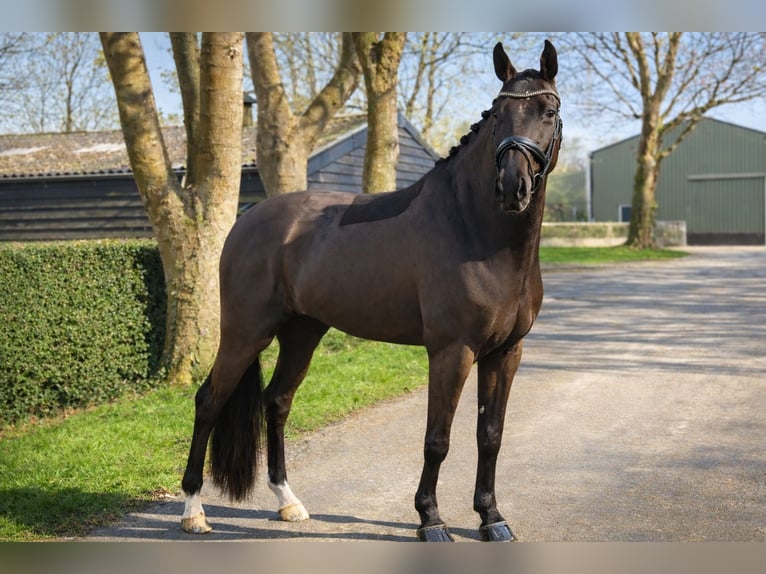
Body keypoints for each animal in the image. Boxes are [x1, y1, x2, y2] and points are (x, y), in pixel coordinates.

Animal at [180, 40, 562, 542]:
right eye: (499, 113)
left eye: (549, 111)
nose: (511, 187)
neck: (474, 230)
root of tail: (247, 220)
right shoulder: (451, 351)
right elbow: (437, 439)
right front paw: (430, 520)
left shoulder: (506, 352)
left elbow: (490, 436)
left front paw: (491, 518)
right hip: (246, 333)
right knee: (209, 401)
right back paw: (193, 511)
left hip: (302, 333)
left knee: (277, 402)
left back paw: (288, 503)